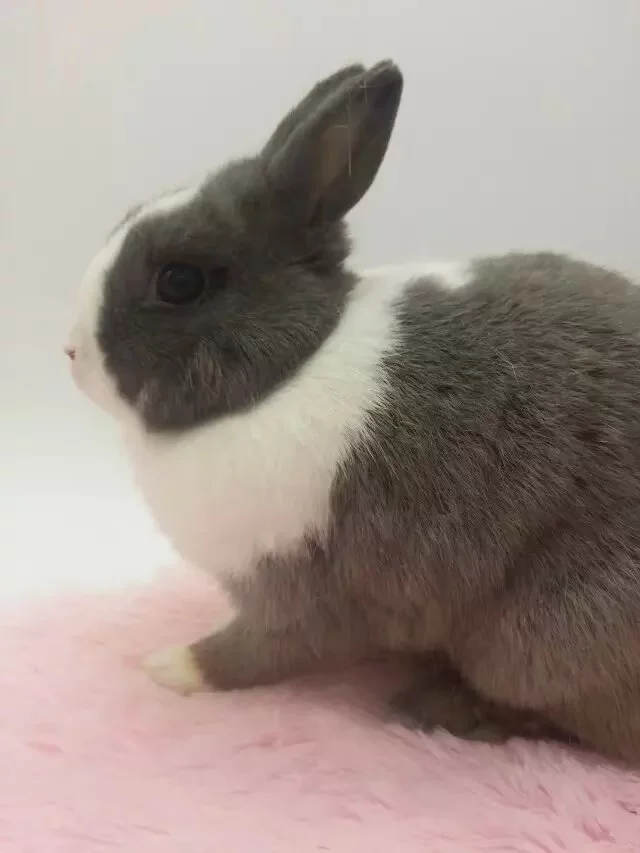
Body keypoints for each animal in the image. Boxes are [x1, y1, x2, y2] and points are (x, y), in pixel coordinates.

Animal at [66, 59, 640, 765]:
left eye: (180, 281)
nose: (71, 354)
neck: (292, 368)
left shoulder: (299, 590)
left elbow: (259, 651)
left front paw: (171, 667)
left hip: (542, 637)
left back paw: (443, 708)